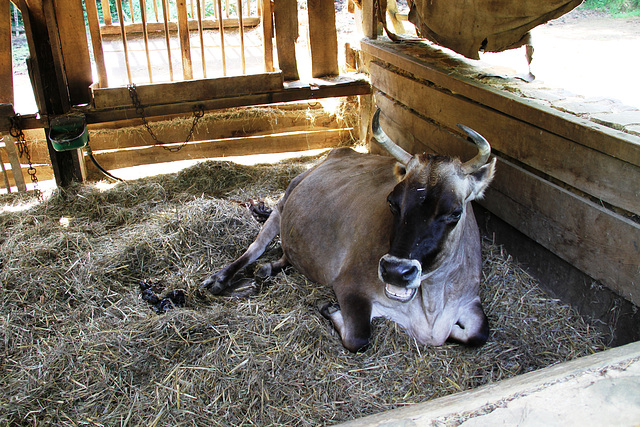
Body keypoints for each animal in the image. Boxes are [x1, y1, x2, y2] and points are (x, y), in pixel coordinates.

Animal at [202, 108, 498, 352]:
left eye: (455, 212)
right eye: (392, 202)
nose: (395, 271)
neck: (430, 307)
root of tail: (341, 151)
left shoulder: (470, 299)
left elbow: (478, 334)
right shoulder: (350, 286)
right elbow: (358, 338)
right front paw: (328, 308)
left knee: (286, 255)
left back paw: (267, 269)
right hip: (285, 200)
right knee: (256, 246)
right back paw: (219, 279)